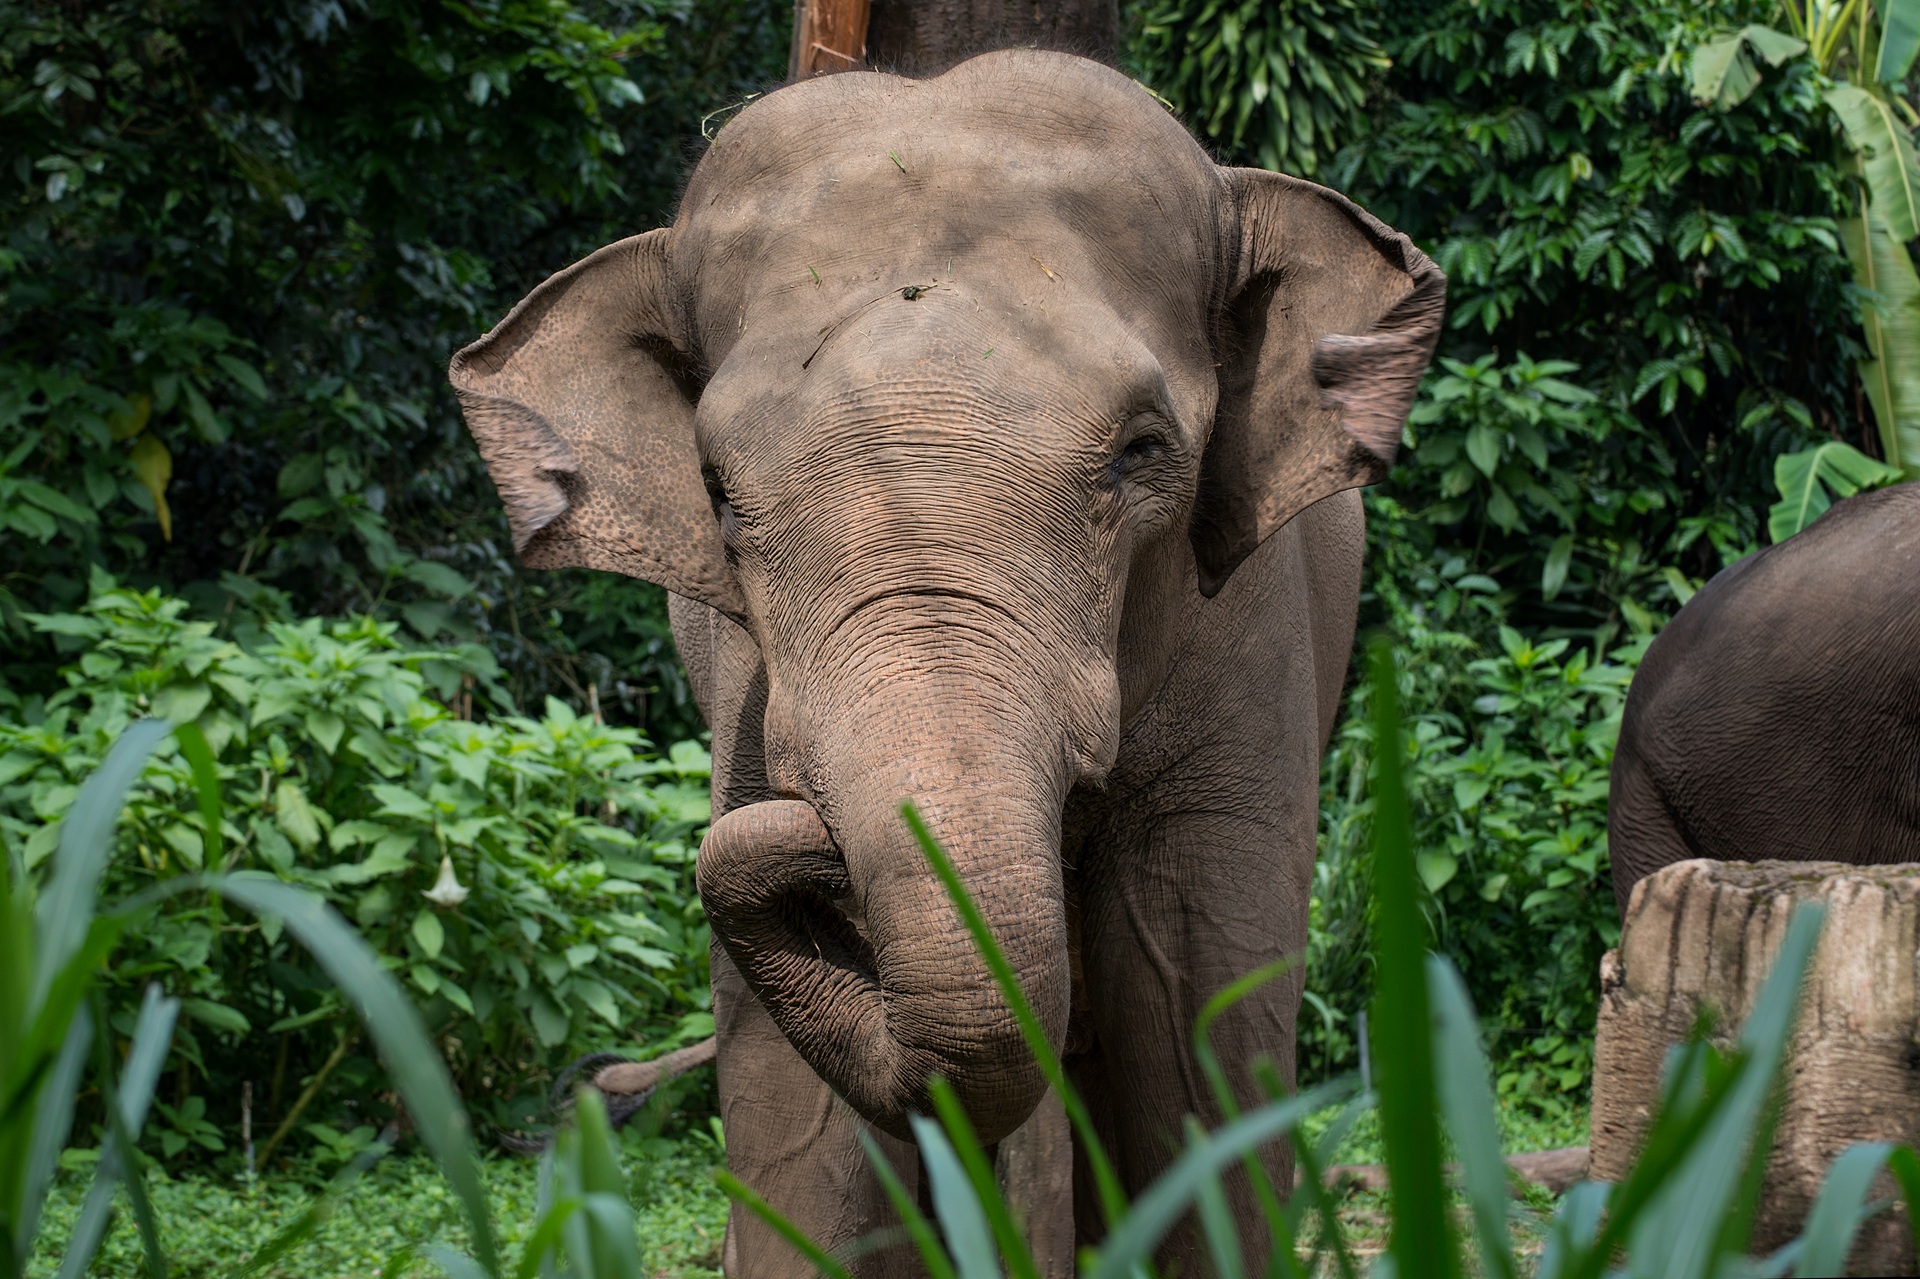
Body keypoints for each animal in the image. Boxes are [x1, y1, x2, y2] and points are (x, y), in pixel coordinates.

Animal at [449, 50, 1442, 1276]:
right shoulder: (748, 682)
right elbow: (799, 1112)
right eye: (717, 492)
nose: (807, 839)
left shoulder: (1252, 635)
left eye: (1142, 452)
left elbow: (1198, 1006)